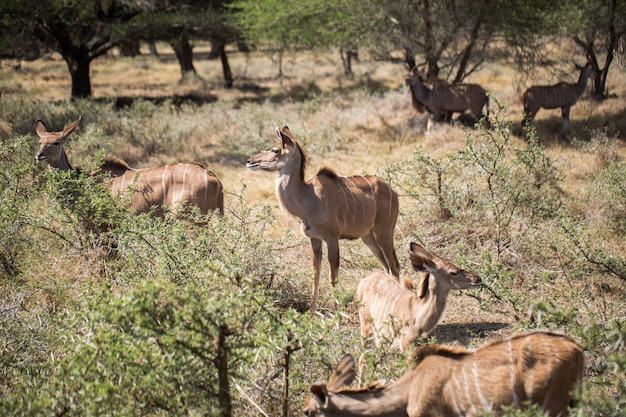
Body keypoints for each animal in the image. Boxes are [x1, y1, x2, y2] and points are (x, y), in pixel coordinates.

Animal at [245, 125, 400, 314]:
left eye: (275, 149)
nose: (250, 160)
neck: (309, 198)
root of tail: (393, 191)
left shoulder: (332, 238)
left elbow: (333, 276)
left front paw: (337, 314)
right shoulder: (314, 239)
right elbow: (315, 275)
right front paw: (311, 313)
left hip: (384, 232)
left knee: (394, 265)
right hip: (368, 236)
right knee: (386, 266)